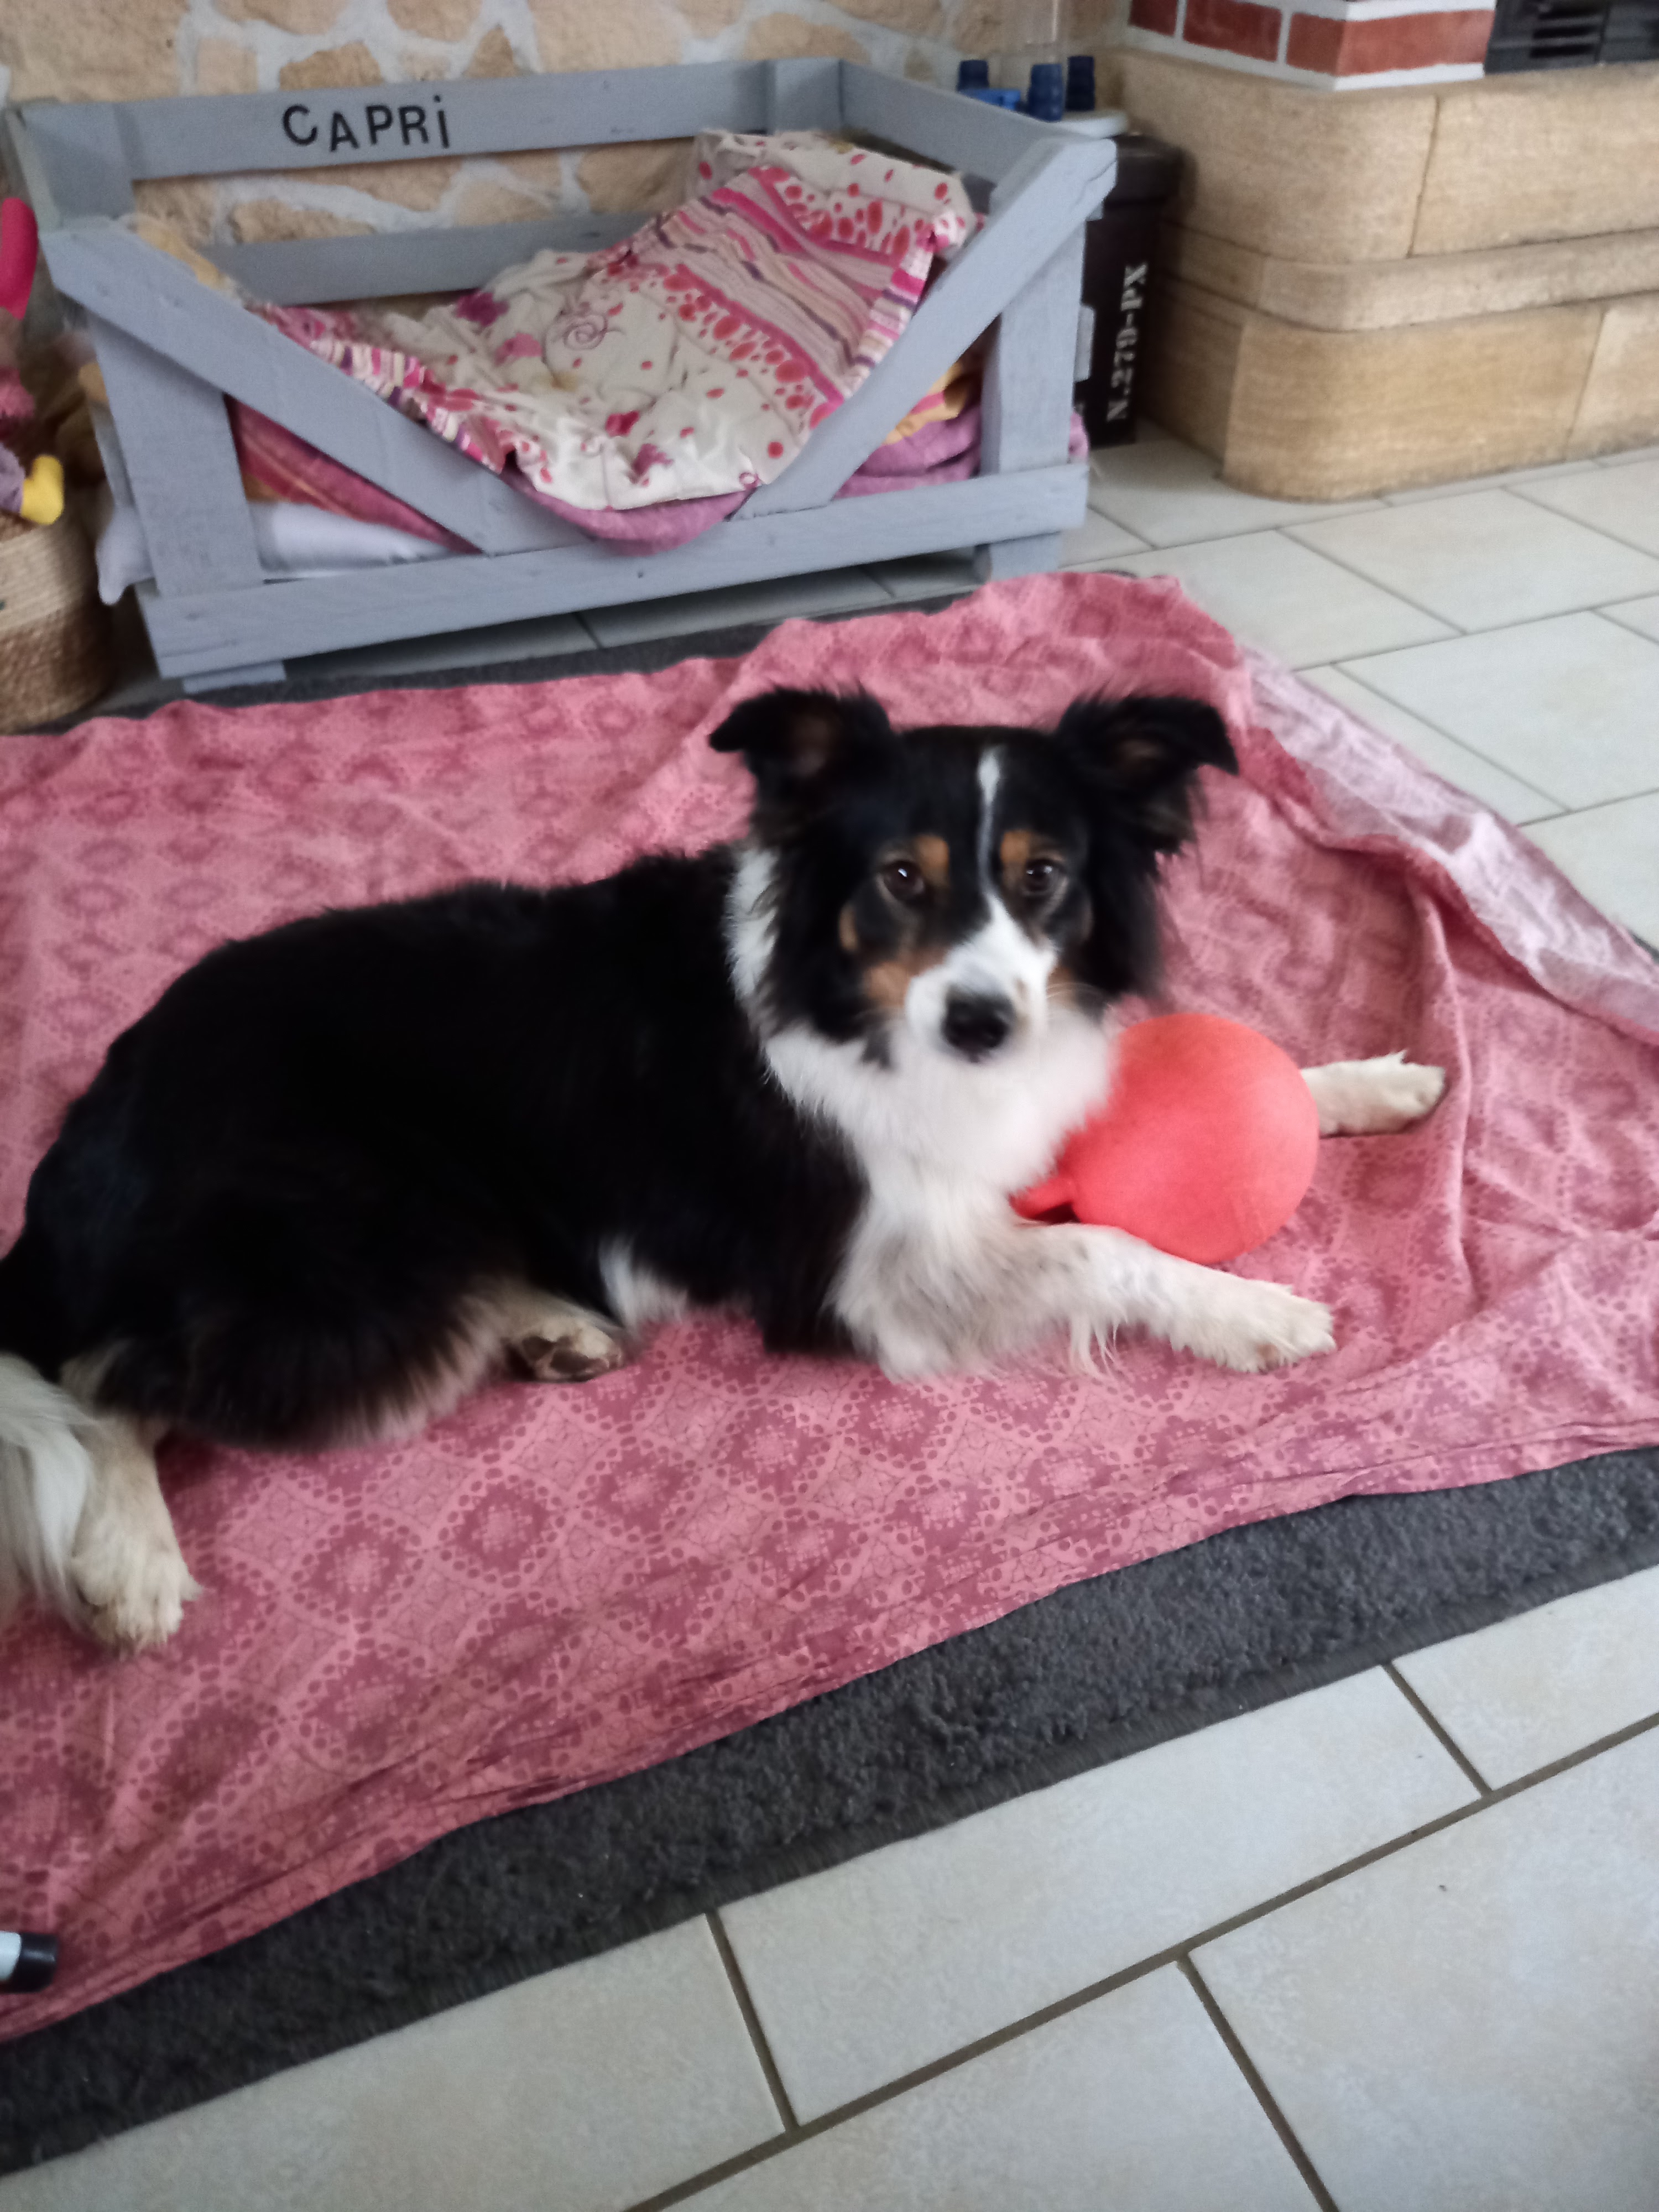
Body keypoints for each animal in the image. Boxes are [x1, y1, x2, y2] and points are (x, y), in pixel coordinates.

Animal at [0, 684, 1444, 1653]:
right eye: (899, 877)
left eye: (1044, 875)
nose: (980, 1020)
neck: (853, 997)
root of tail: (87, 1135)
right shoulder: (868, 1273)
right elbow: (1102, 1239)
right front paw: (1251, 1310)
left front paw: (1372, 1082)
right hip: (367, 1241)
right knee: (99, 1371)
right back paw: (128, 1560)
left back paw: (553, 1328)